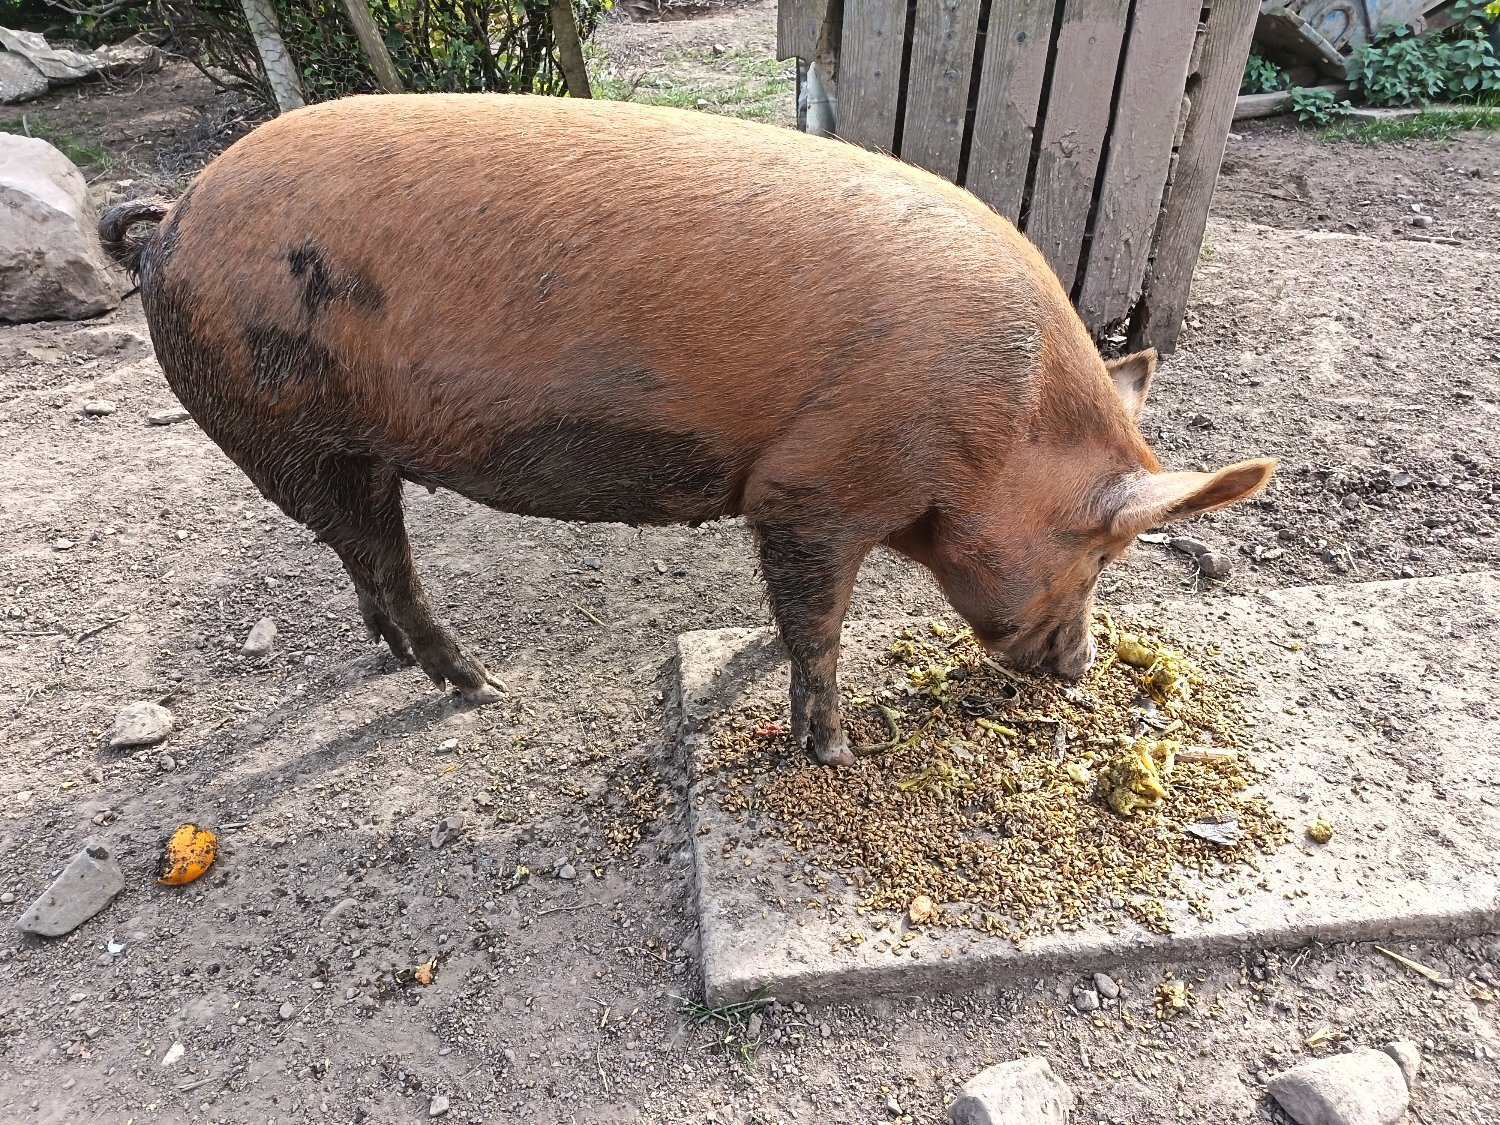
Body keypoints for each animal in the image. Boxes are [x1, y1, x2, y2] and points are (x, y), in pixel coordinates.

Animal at [98, 93, 1274, 767]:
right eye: (1102, 556)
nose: (1082, 669)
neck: (1003, 423)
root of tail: (172, 221)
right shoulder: (812, 487)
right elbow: (817, 625)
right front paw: (834, 755)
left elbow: (800, 617)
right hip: (287, 431)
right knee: (385, 562)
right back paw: (480, 689)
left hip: (332, 452)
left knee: (359, 561)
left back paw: (396, 661)